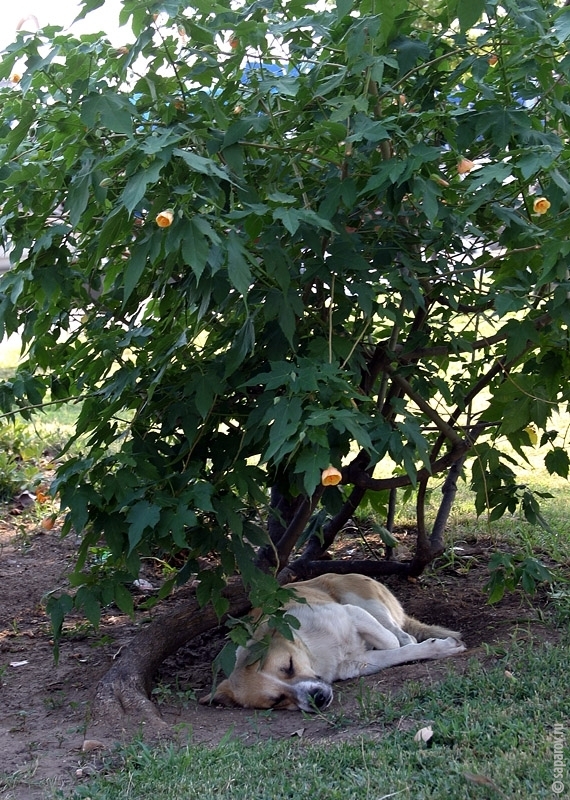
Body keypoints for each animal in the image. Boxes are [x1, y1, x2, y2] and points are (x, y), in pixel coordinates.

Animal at [202, 572, 464, 708]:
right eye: (276, 701)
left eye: (288, 666)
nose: (317, 699)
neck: (316, 655)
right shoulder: (357, 663)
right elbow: (394, 652)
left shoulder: (352, 613)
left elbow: (392, 643)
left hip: (363, 601)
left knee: (401, 634)